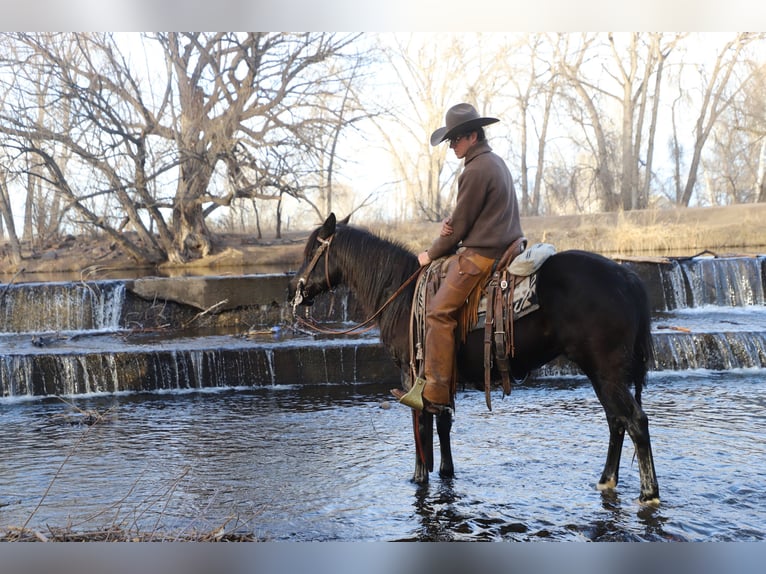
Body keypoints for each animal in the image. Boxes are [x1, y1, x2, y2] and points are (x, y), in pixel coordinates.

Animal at [288, 213, 660, 505]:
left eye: (311, 250)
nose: (295, 290)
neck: (401, 295)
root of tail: (628, 277)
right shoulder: (442, 377)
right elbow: (442, 422)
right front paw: (445, 472)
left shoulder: (412, 376)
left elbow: (420, 426)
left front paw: (419, 477)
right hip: (602, 372)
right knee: (616, 421)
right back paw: (606, 480)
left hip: (605, 370)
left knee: (634, 421)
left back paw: (648, 494)